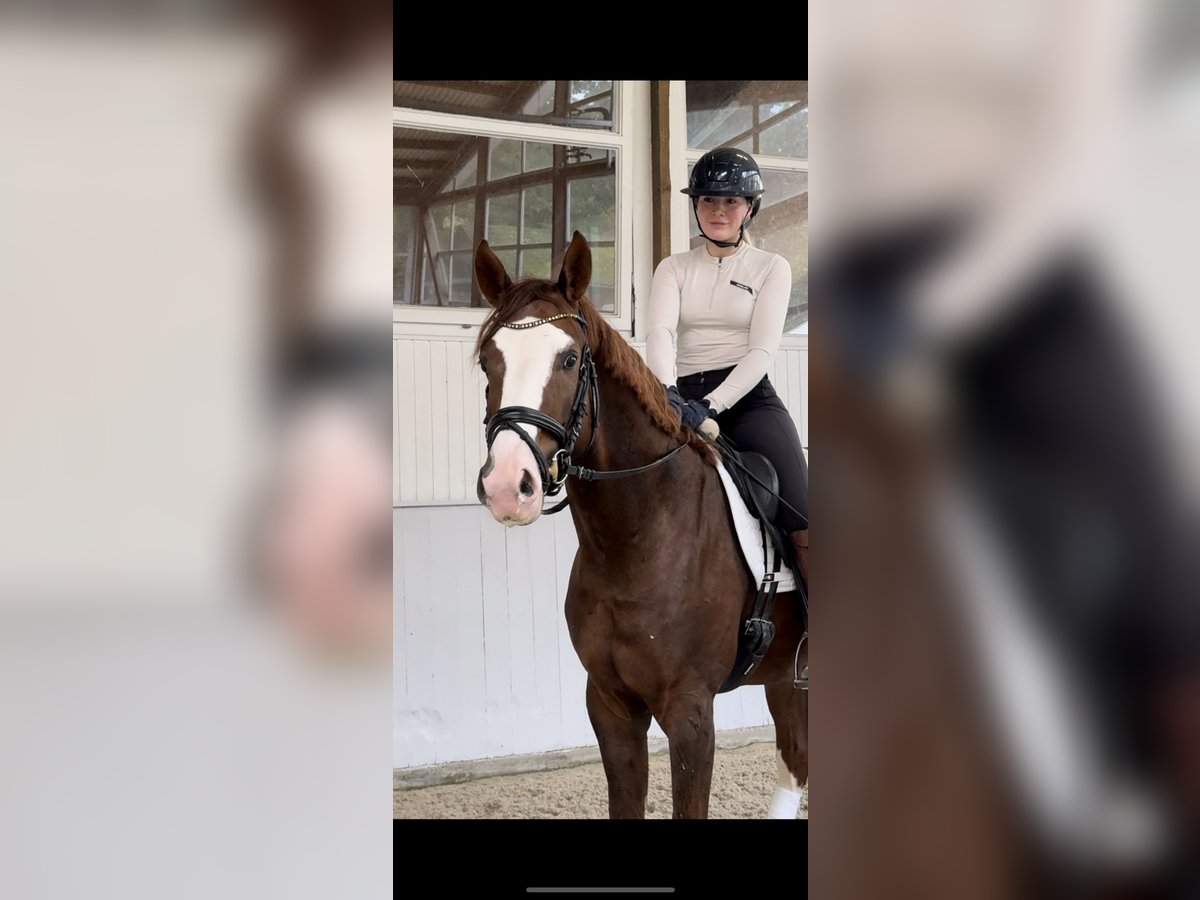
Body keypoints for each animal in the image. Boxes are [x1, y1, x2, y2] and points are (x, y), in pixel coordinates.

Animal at [472, 230, 808, 819]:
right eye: (489, 361)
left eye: (569, 359)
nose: (508, 486)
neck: (637, 540)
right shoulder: (609, 703)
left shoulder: (690, 712)